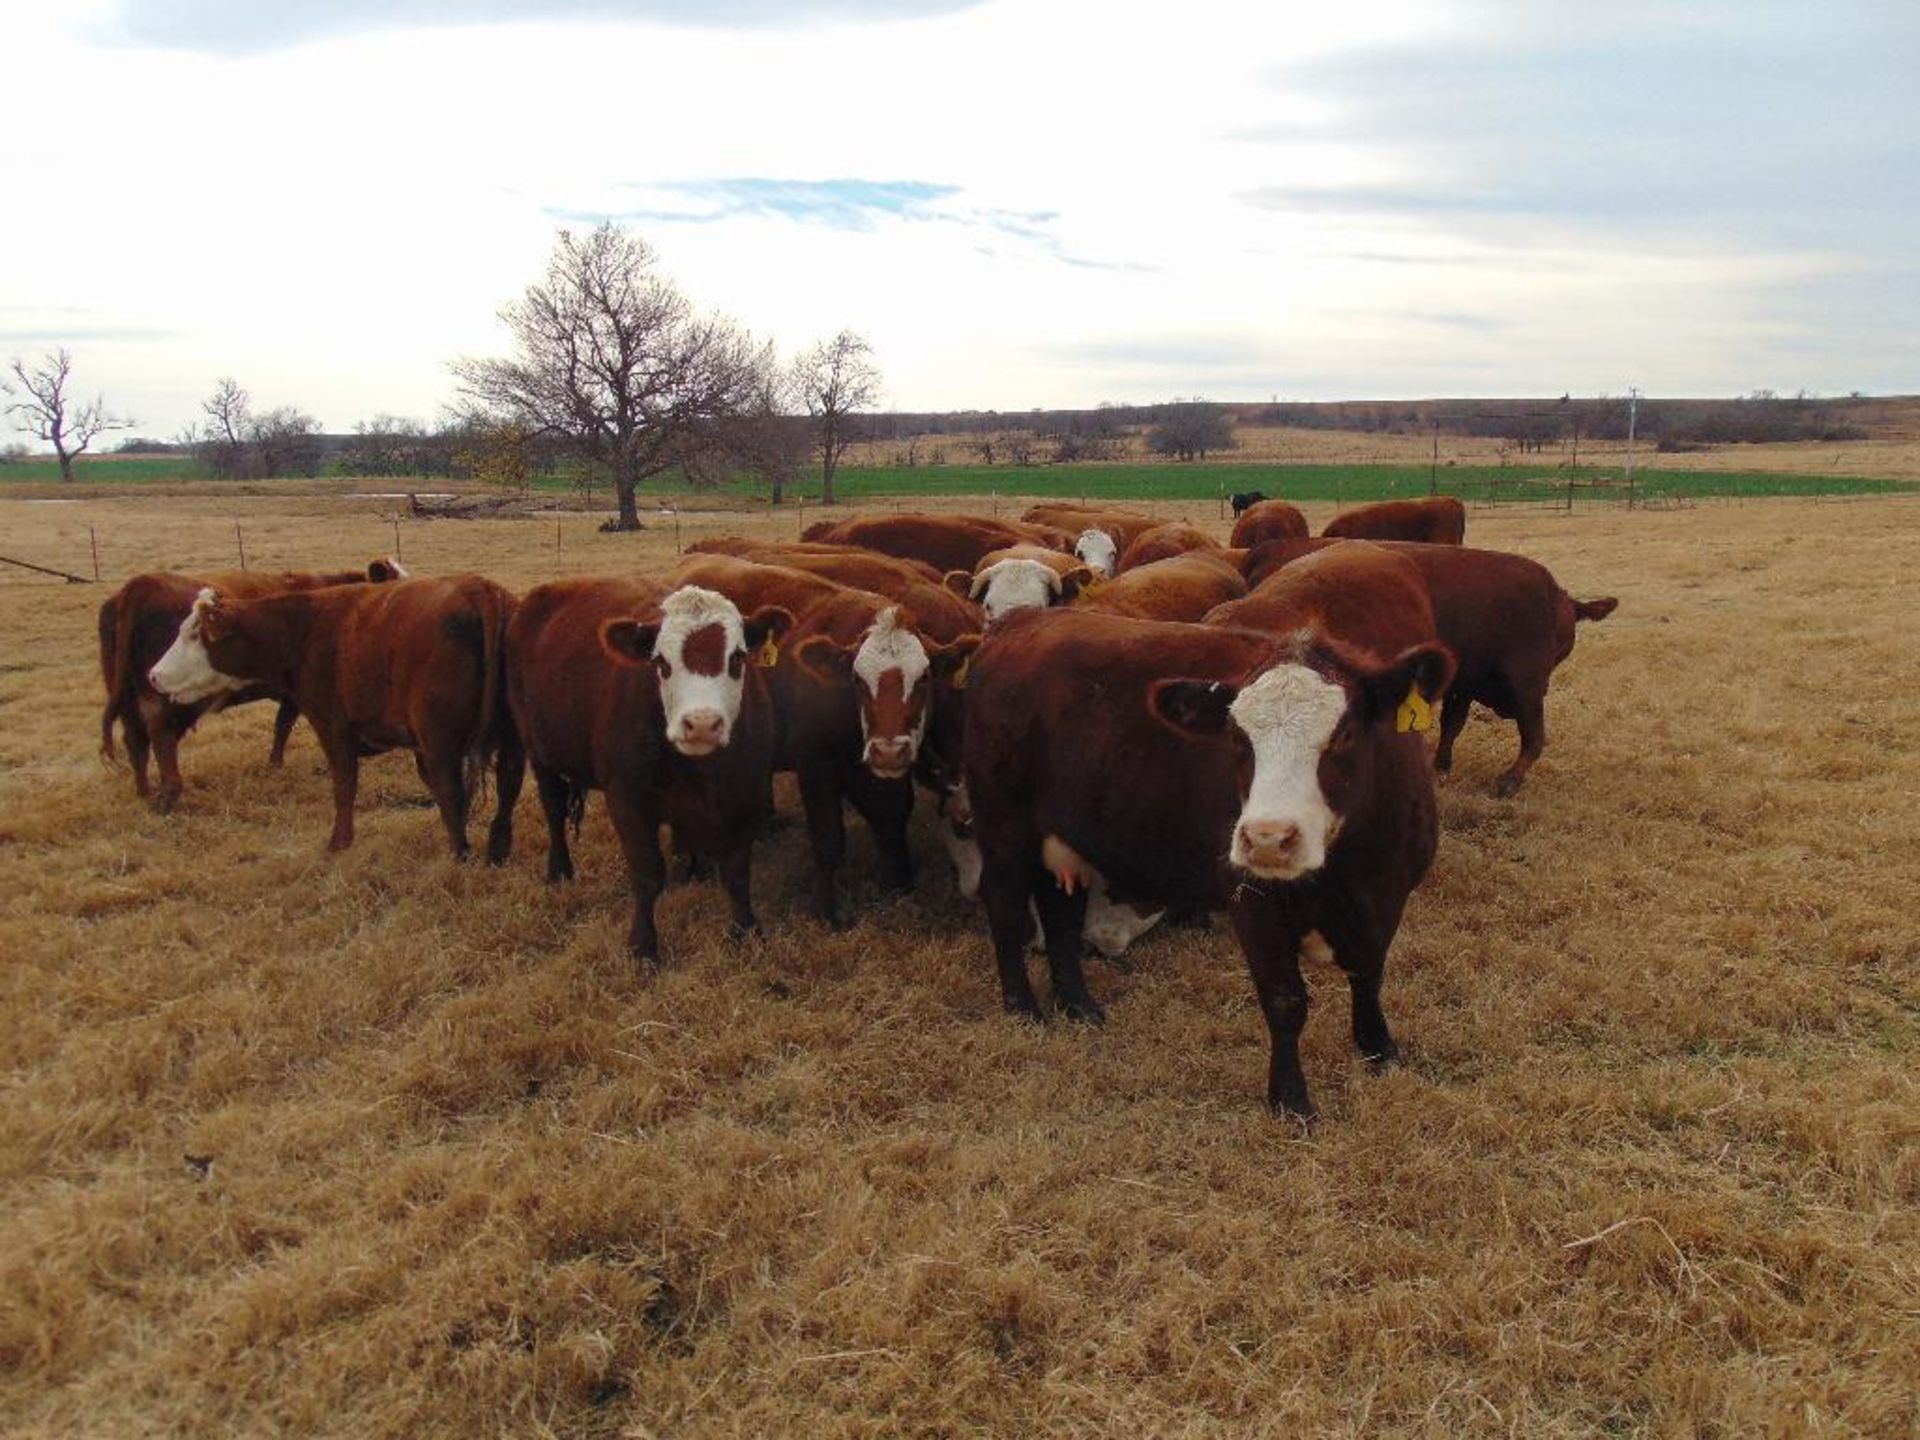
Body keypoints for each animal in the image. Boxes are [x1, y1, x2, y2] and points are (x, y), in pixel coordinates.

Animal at [98, 556, 405, 817]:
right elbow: (284, 724)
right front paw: (276, 763)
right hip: (170, 695)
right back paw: (169, 794)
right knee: (161, 734)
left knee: (135, 739)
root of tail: (142, 585)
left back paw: (145, 792)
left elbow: (281, 726)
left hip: (127, 697)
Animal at [144, 576, 518, 864]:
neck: (304, 629)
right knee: (505, 788)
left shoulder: (333, 728)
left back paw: (460, 856)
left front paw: (339, 842)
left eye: (194, 635)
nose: (154, 675)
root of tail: (479, 590)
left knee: (453, 790)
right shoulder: (416, 745)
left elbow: (344, 787)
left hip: (441, 743)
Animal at [960, 602, 1451, 1121]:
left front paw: (1378, 1049)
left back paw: (1079, 1005)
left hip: (1065, 836)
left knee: (1059, 917)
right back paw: (1023, 1009)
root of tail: (1022, 621)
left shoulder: (1389, 894)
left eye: (1345, 734)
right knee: (1006, 910)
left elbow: (1370, 974)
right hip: (1003, 826)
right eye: (1237, 738)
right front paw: (1290, 1099)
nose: (1267, 839)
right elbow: (1285, 1000)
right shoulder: (1252, 901)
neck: (1347, 878)